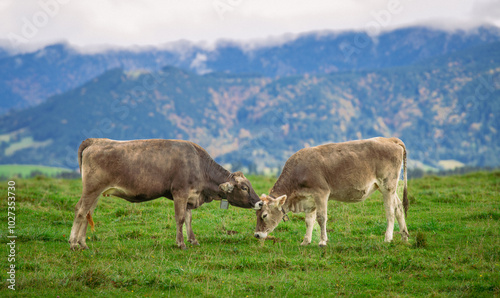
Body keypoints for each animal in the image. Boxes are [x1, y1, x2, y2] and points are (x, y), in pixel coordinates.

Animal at [71, 139, 266, 250]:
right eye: (244, 188)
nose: (259, 203)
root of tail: (95, 141)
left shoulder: (189, 197)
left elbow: (188, 219)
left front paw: (193, 241)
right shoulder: (180, 192)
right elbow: (180, 218)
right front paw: (181, 243)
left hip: (96, 193)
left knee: (88, 213)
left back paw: (83, 243)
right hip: (92, 188)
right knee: (80, 211)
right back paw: (73, 243)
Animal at [256, 137, 408, 247]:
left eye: (264, 215)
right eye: (256, 214)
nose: (256, 235)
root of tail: (390, 139)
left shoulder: (321, 193)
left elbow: (321, 218)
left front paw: (323, 241)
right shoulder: (308, 200)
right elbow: (309, 221)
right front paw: (305, 241)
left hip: (387, 185)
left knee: (390, 211)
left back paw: (388, 238)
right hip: (387, 188)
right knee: (399, 207)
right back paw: (404, 236)